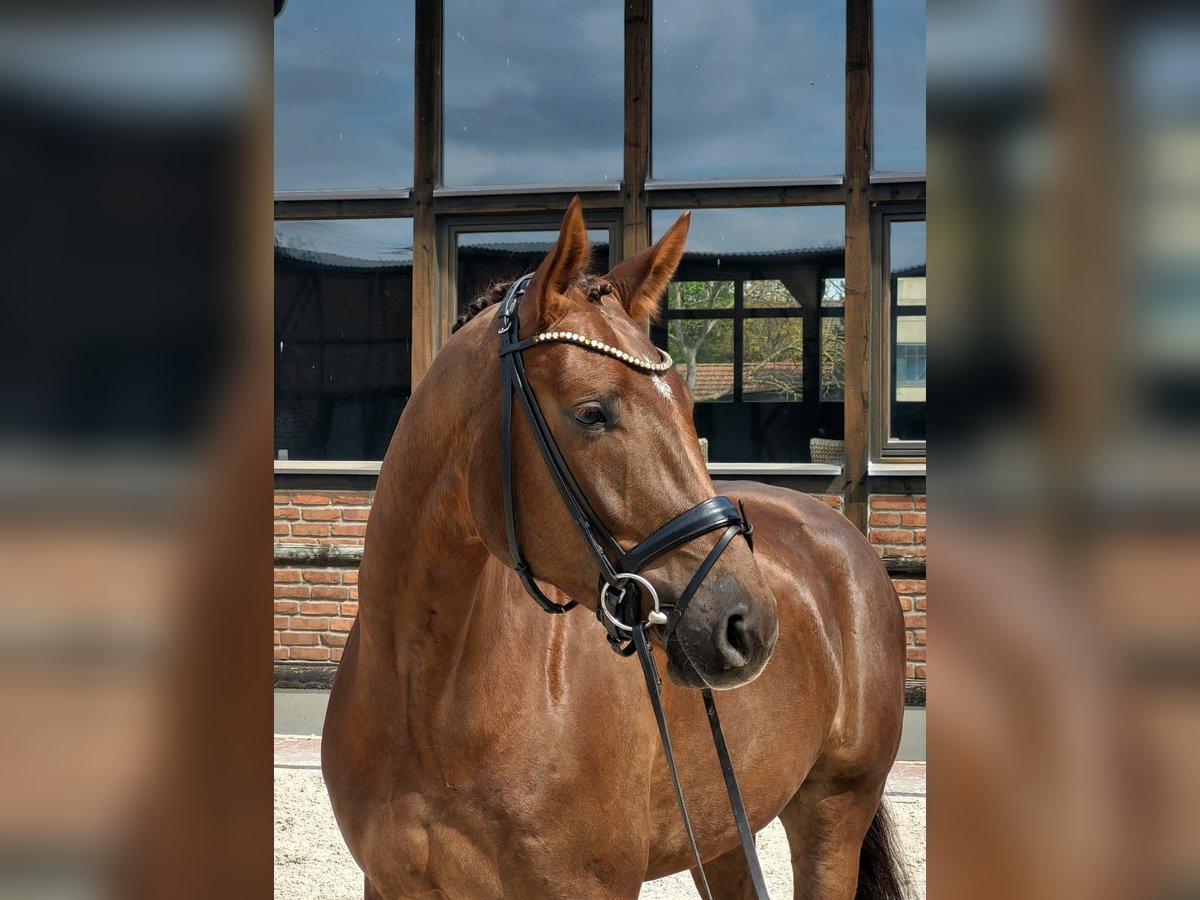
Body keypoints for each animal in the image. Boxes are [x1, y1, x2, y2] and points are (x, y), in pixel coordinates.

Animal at [324, 200, 902, 897]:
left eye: (686, 404)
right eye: (591, 412)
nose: (748, 625)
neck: (424, 696)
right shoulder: (388, 885)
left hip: (833, 813)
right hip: (723, 831)